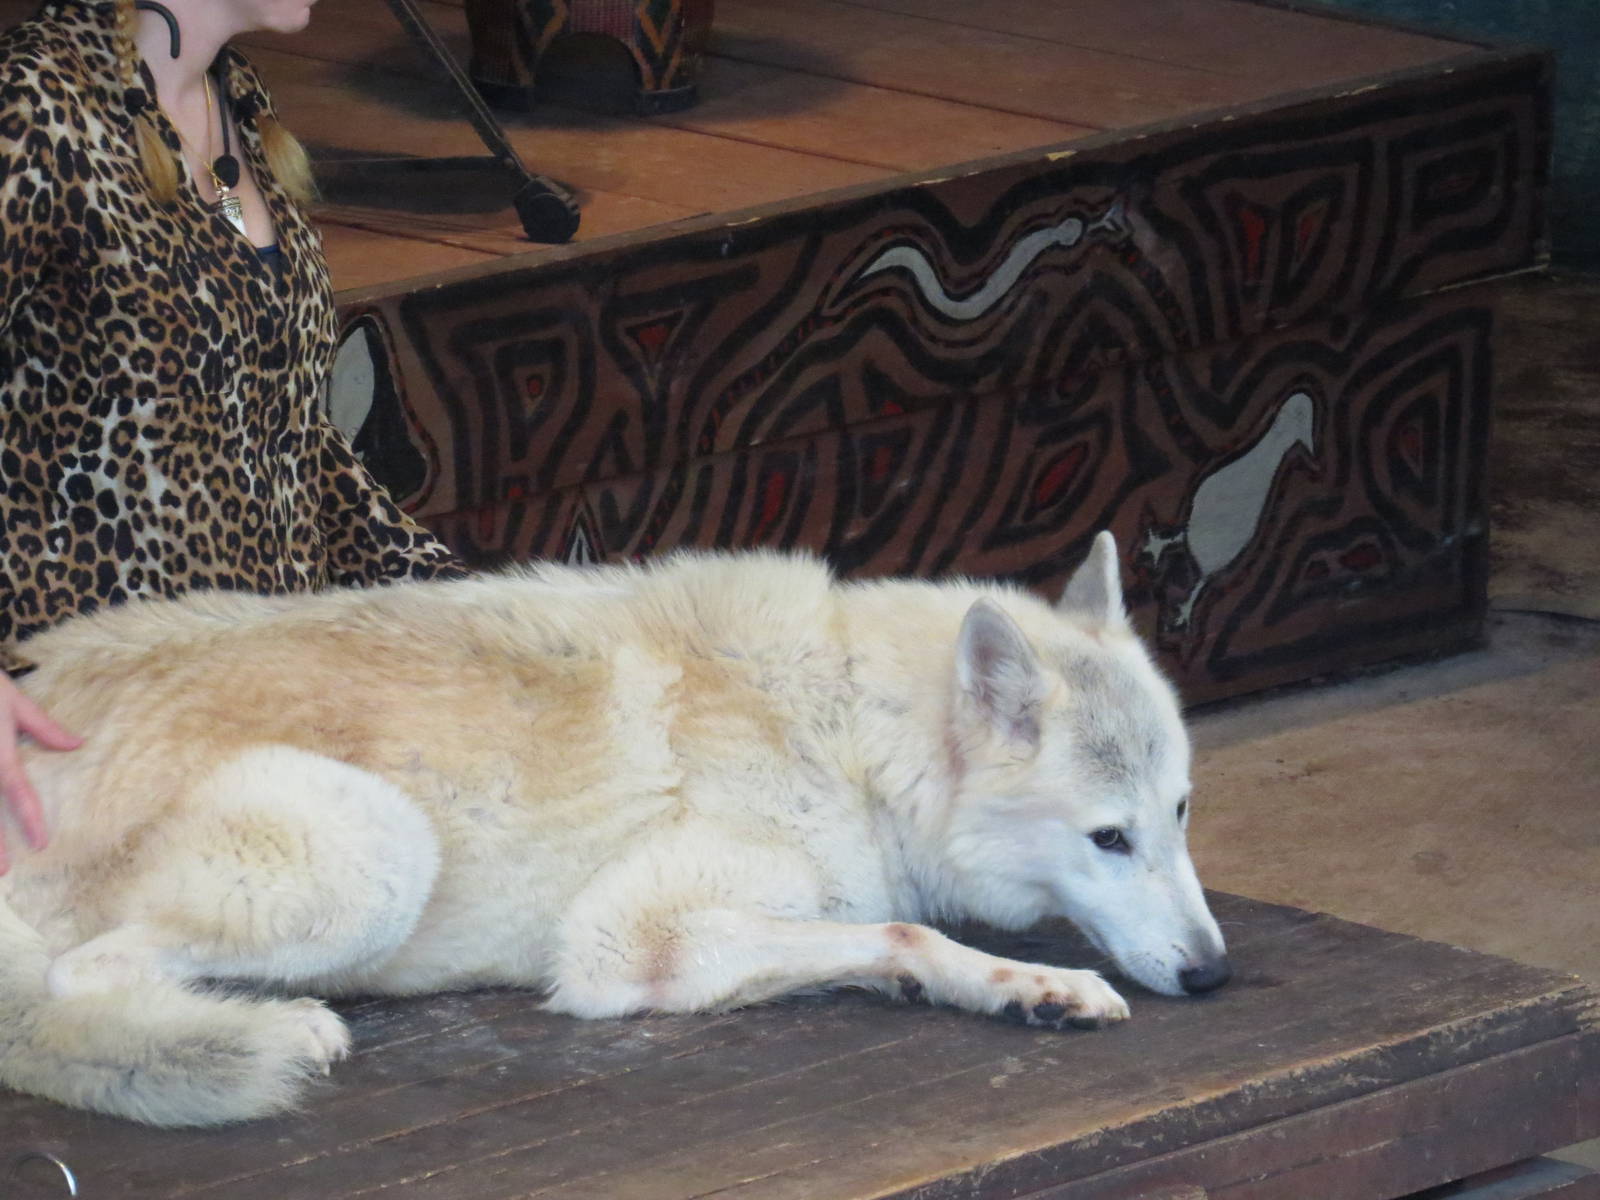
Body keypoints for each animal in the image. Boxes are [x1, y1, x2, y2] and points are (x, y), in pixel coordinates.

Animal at [0, 534, 1228, 1127]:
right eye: (1109, 840)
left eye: (1178, 814)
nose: (1218, 977)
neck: (851, 731)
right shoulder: (624, 944)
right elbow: (904, 933)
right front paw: (1029, 984)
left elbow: (883, 938)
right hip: (376, 850)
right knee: (84, 980)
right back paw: (285, 1025)